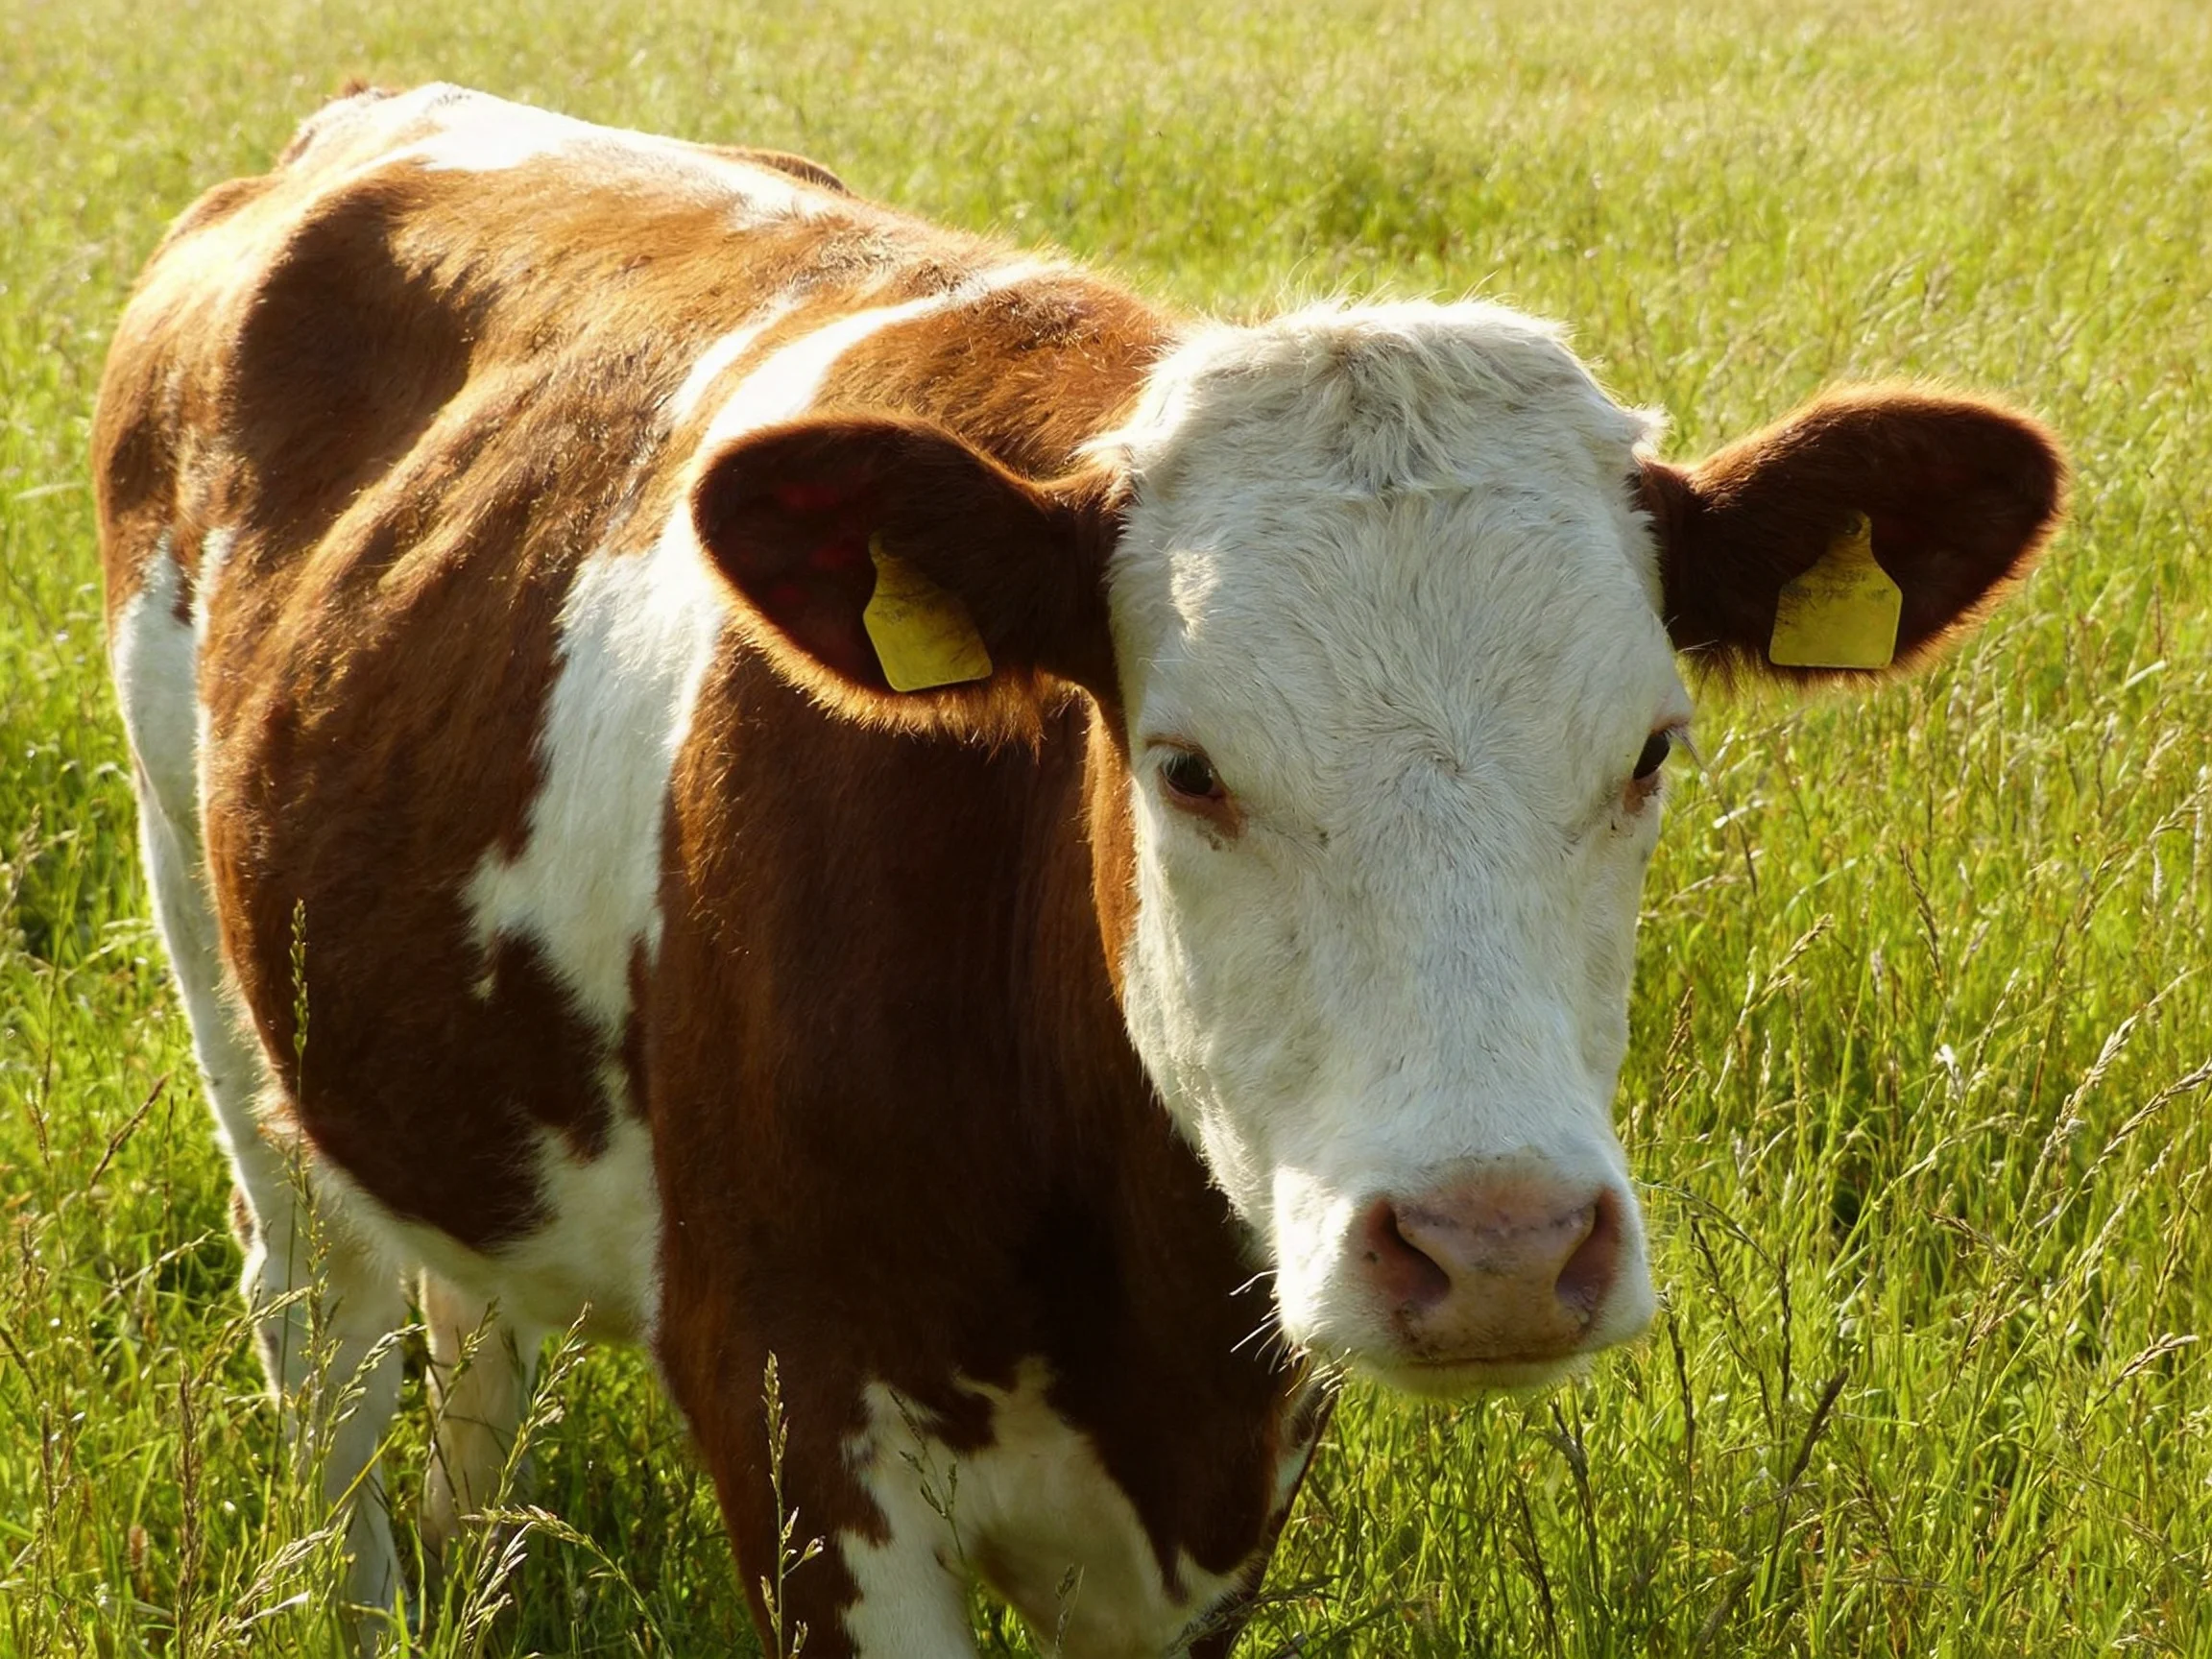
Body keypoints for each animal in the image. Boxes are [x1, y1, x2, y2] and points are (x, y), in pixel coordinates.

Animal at [95, 84, 2064, 1658]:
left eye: (1650, 747)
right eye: (1185, 765)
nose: (1496, 1247)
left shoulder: (1217, 1479)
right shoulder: (792, 1410)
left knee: (474, 1329)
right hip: (215, 951)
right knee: (324, 1329)